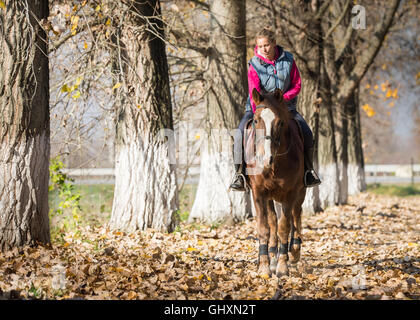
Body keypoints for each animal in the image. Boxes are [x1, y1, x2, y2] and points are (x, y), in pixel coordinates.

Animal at [244, 88, 306, 278]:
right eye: (256, 120)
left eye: (279, 123)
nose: (265, 159)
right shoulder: (258, 193)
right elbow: (265, 227)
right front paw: (265, 266)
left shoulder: (290, 193)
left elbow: (284, 227)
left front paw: (283, 267)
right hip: (270, 197)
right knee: (273, 220)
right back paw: (272, 257)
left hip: (300, 193)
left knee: (296, 214)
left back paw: (294, 252)